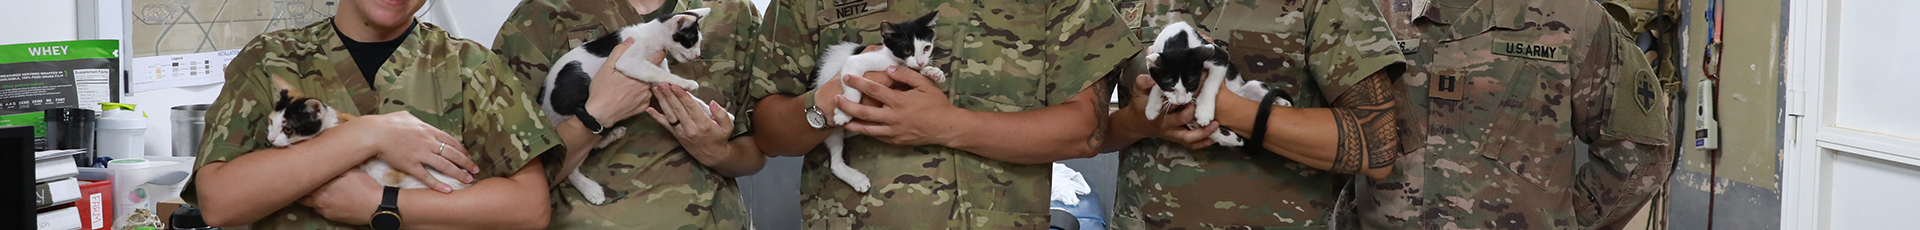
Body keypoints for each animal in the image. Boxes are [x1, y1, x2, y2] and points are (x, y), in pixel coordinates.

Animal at [537, 7, 721, 205]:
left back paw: (612, 135)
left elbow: (687, 95)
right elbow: (659, 73)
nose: (697, 55)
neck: (652, 36)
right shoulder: (629, 61)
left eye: (698, 42)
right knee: (570, 168)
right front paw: (687, 83)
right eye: (691, 42)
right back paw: (590, 189)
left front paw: (709, 111)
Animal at [802, 11, 944, 193]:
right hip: (829, 129)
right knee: (835, 162)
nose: (921, 61)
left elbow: (916, 70)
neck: (893, 59)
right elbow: (852, 85)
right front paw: (844, 112)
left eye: (926, 48)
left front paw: (933, 71)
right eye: (907, 50)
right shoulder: (855, 61)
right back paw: (854, 177)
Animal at [1136, 22, 1290, 147]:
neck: (1176, 42)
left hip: (1253, 86)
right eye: (1170, 87)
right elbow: (1155, 81)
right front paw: (1152, 105)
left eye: (1192, 85)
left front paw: (1204, 110)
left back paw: (1281, 102)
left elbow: (1211, 81)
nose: (1181, 101)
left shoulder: (1218, 55)